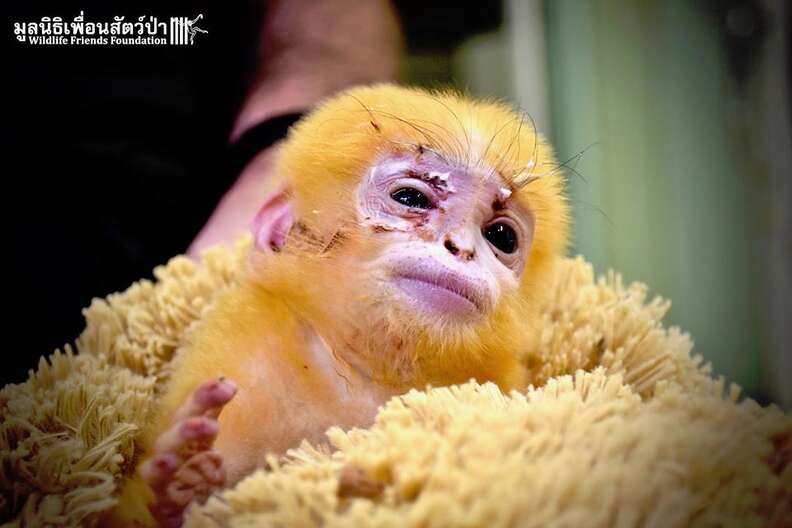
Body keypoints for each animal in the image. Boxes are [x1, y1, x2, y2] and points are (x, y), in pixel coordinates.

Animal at [110, 84, 569, 526]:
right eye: (410, 198)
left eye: (501, 237)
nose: (461, 248)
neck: (364, 372)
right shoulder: (243, 359)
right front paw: (176, 483)